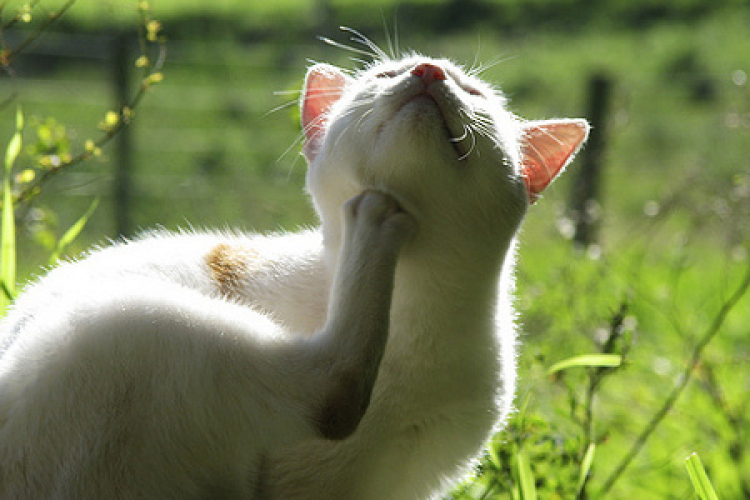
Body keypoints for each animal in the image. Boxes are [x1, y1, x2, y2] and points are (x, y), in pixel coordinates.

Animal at [0, 44, 588, 499]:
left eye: (472, 91)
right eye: (385, 75)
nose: (428, 71)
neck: (422, 307)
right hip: (135, 322)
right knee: (333, 391)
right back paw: (374, 219)